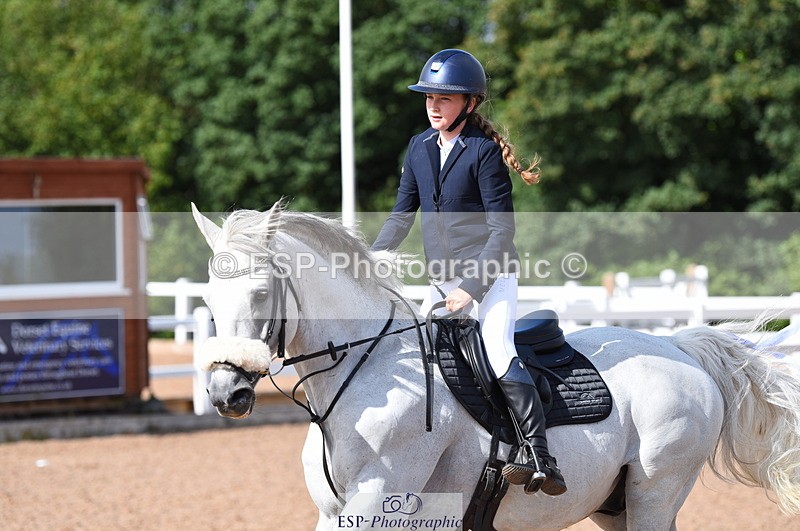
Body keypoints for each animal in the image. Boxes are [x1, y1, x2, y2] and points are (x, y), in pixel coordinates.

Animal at [190, 201, 800, 530]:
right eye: (209, 299)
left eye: (262, 294)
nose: (225, 394)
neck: (364, 372)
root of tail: (680, 349)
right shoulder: (337, 511)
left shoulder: (375, 502)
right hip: (618, 504)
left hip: (657, 487)